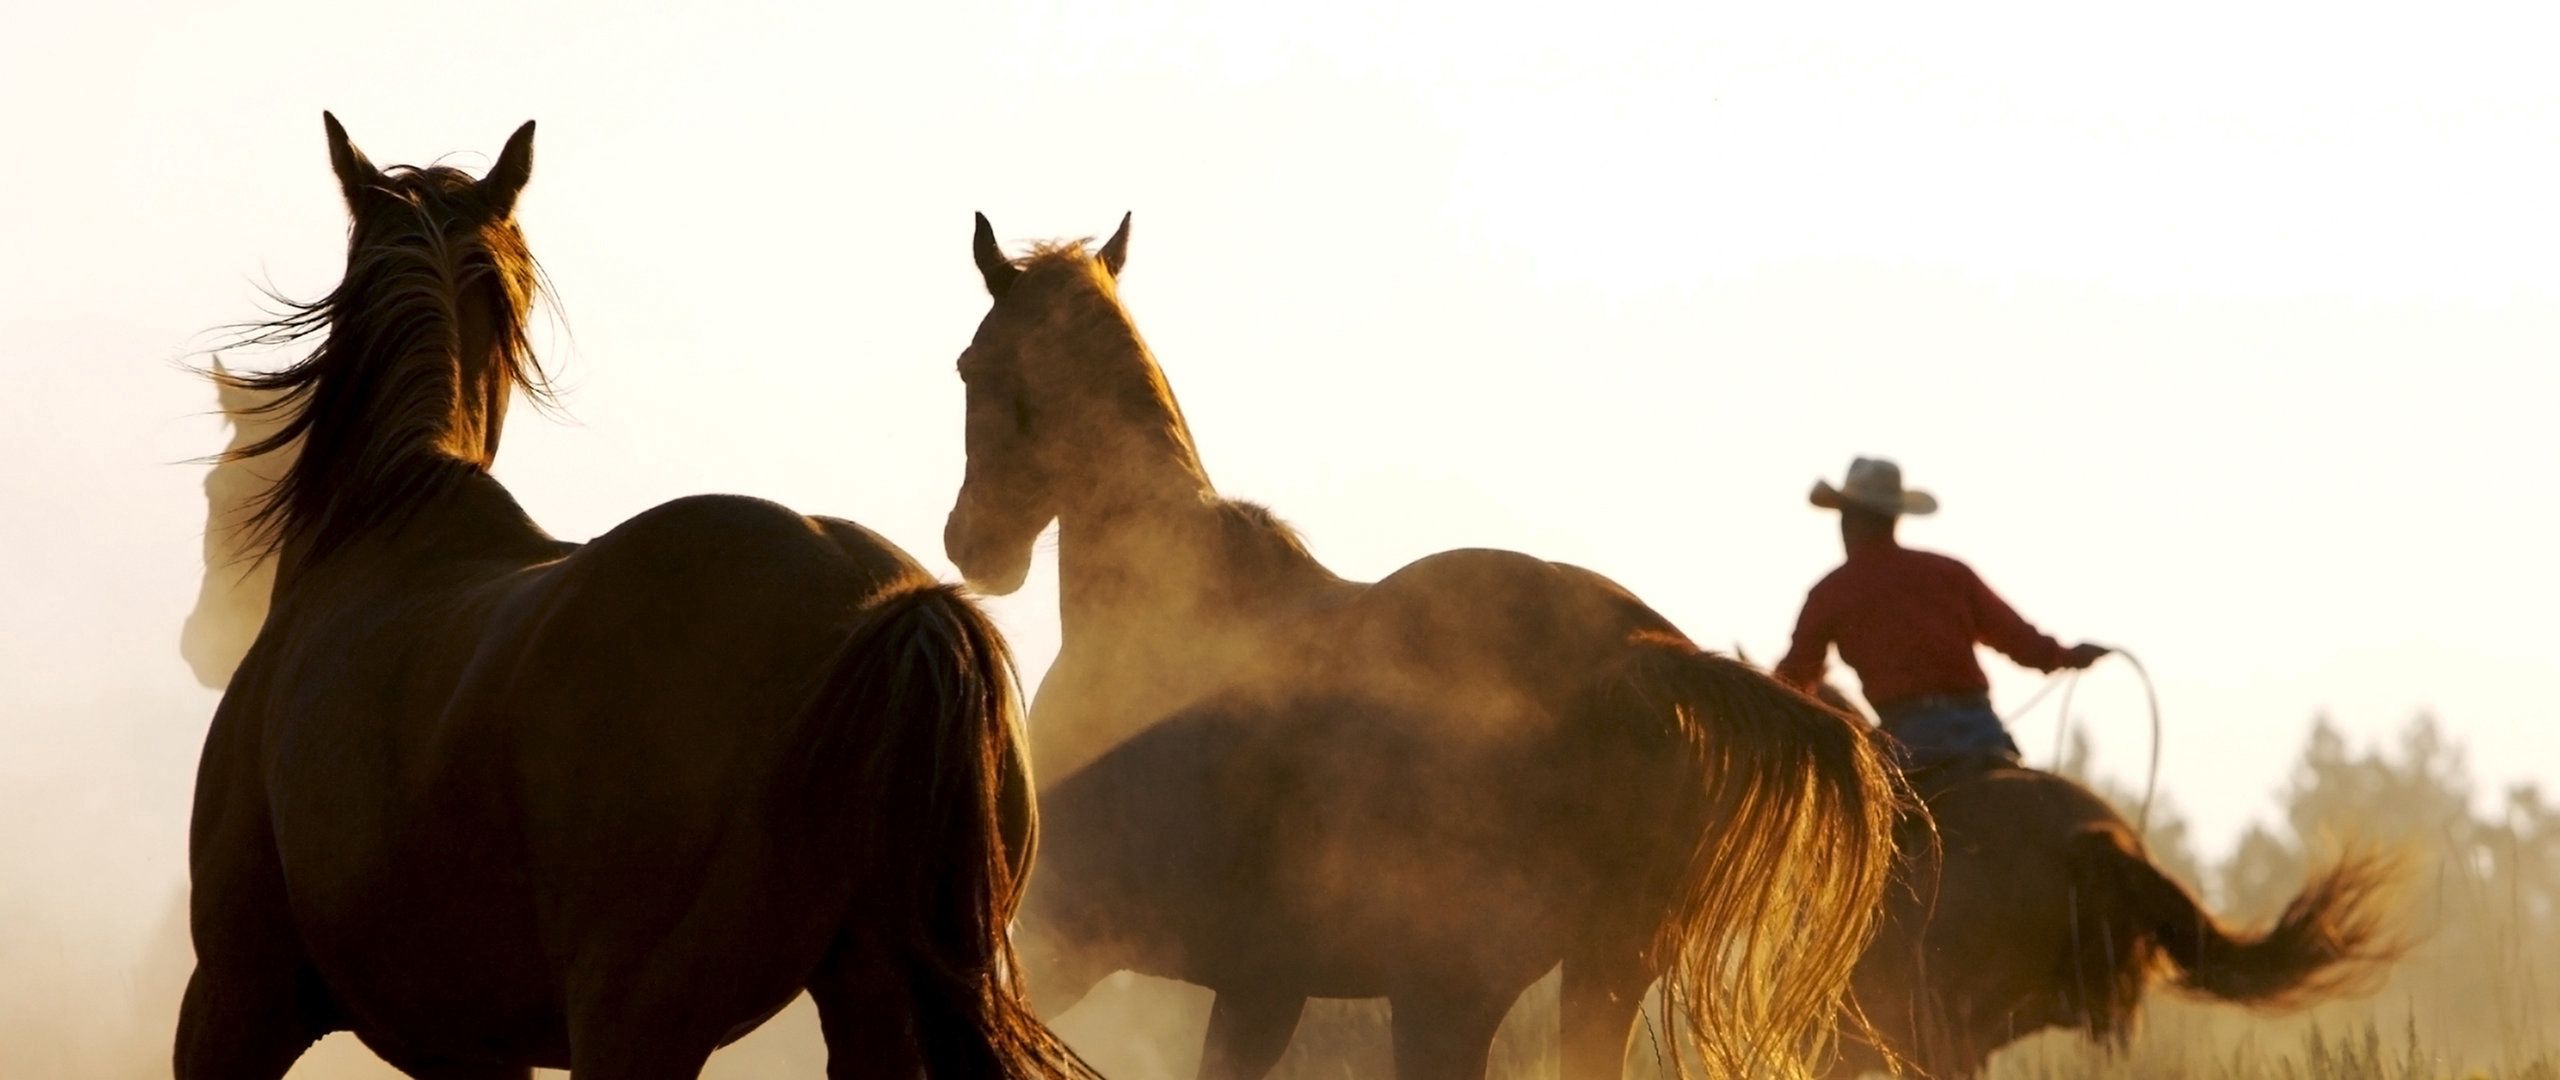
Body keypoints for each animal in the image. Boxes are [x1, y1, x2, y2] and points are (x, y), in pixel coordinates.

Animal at [180, 115, 1080, 1080]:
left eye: (220, 492)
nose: (199, 641)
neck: (380, 522)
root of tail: (893, 607)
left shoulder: (232, 1003)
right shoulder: (476, 1051)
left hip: (636, 1019)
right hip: (871, 1000)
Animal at [942, 217, 1904, 1080]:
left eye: (970, 366)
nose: (971, 544)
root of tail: (1640, 650)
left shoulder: (1069, 940)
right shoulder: (1262, 986)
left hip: (1450, 993)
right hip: (1600, 973)